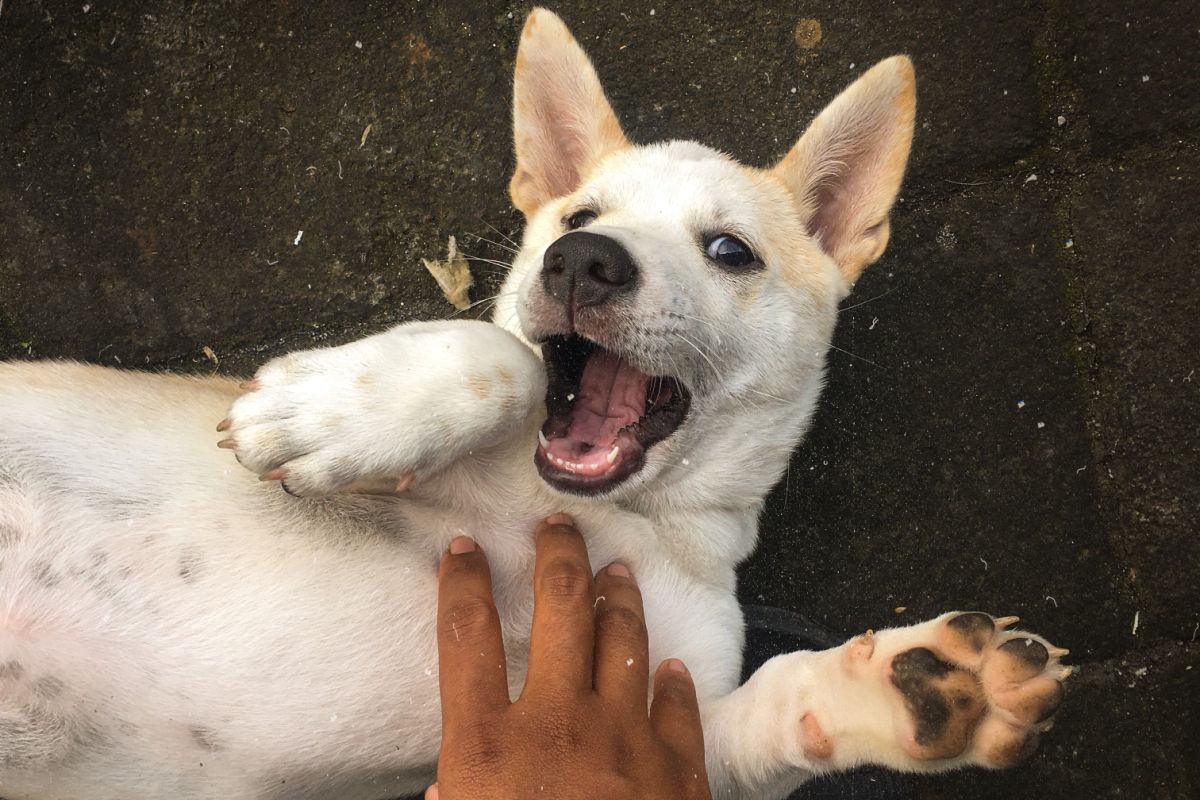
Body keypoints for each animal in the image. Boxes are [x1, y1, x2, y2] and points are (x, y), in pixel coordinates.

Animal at [0, 7, 1070, 800]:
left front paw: (906, 688)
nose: (581, 261)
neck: (630, 519)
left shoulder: (667, 729)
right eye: (577, 216)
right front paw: (328, 409)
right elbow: (504, 355)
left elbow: (771, 708)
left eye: (731, 250)